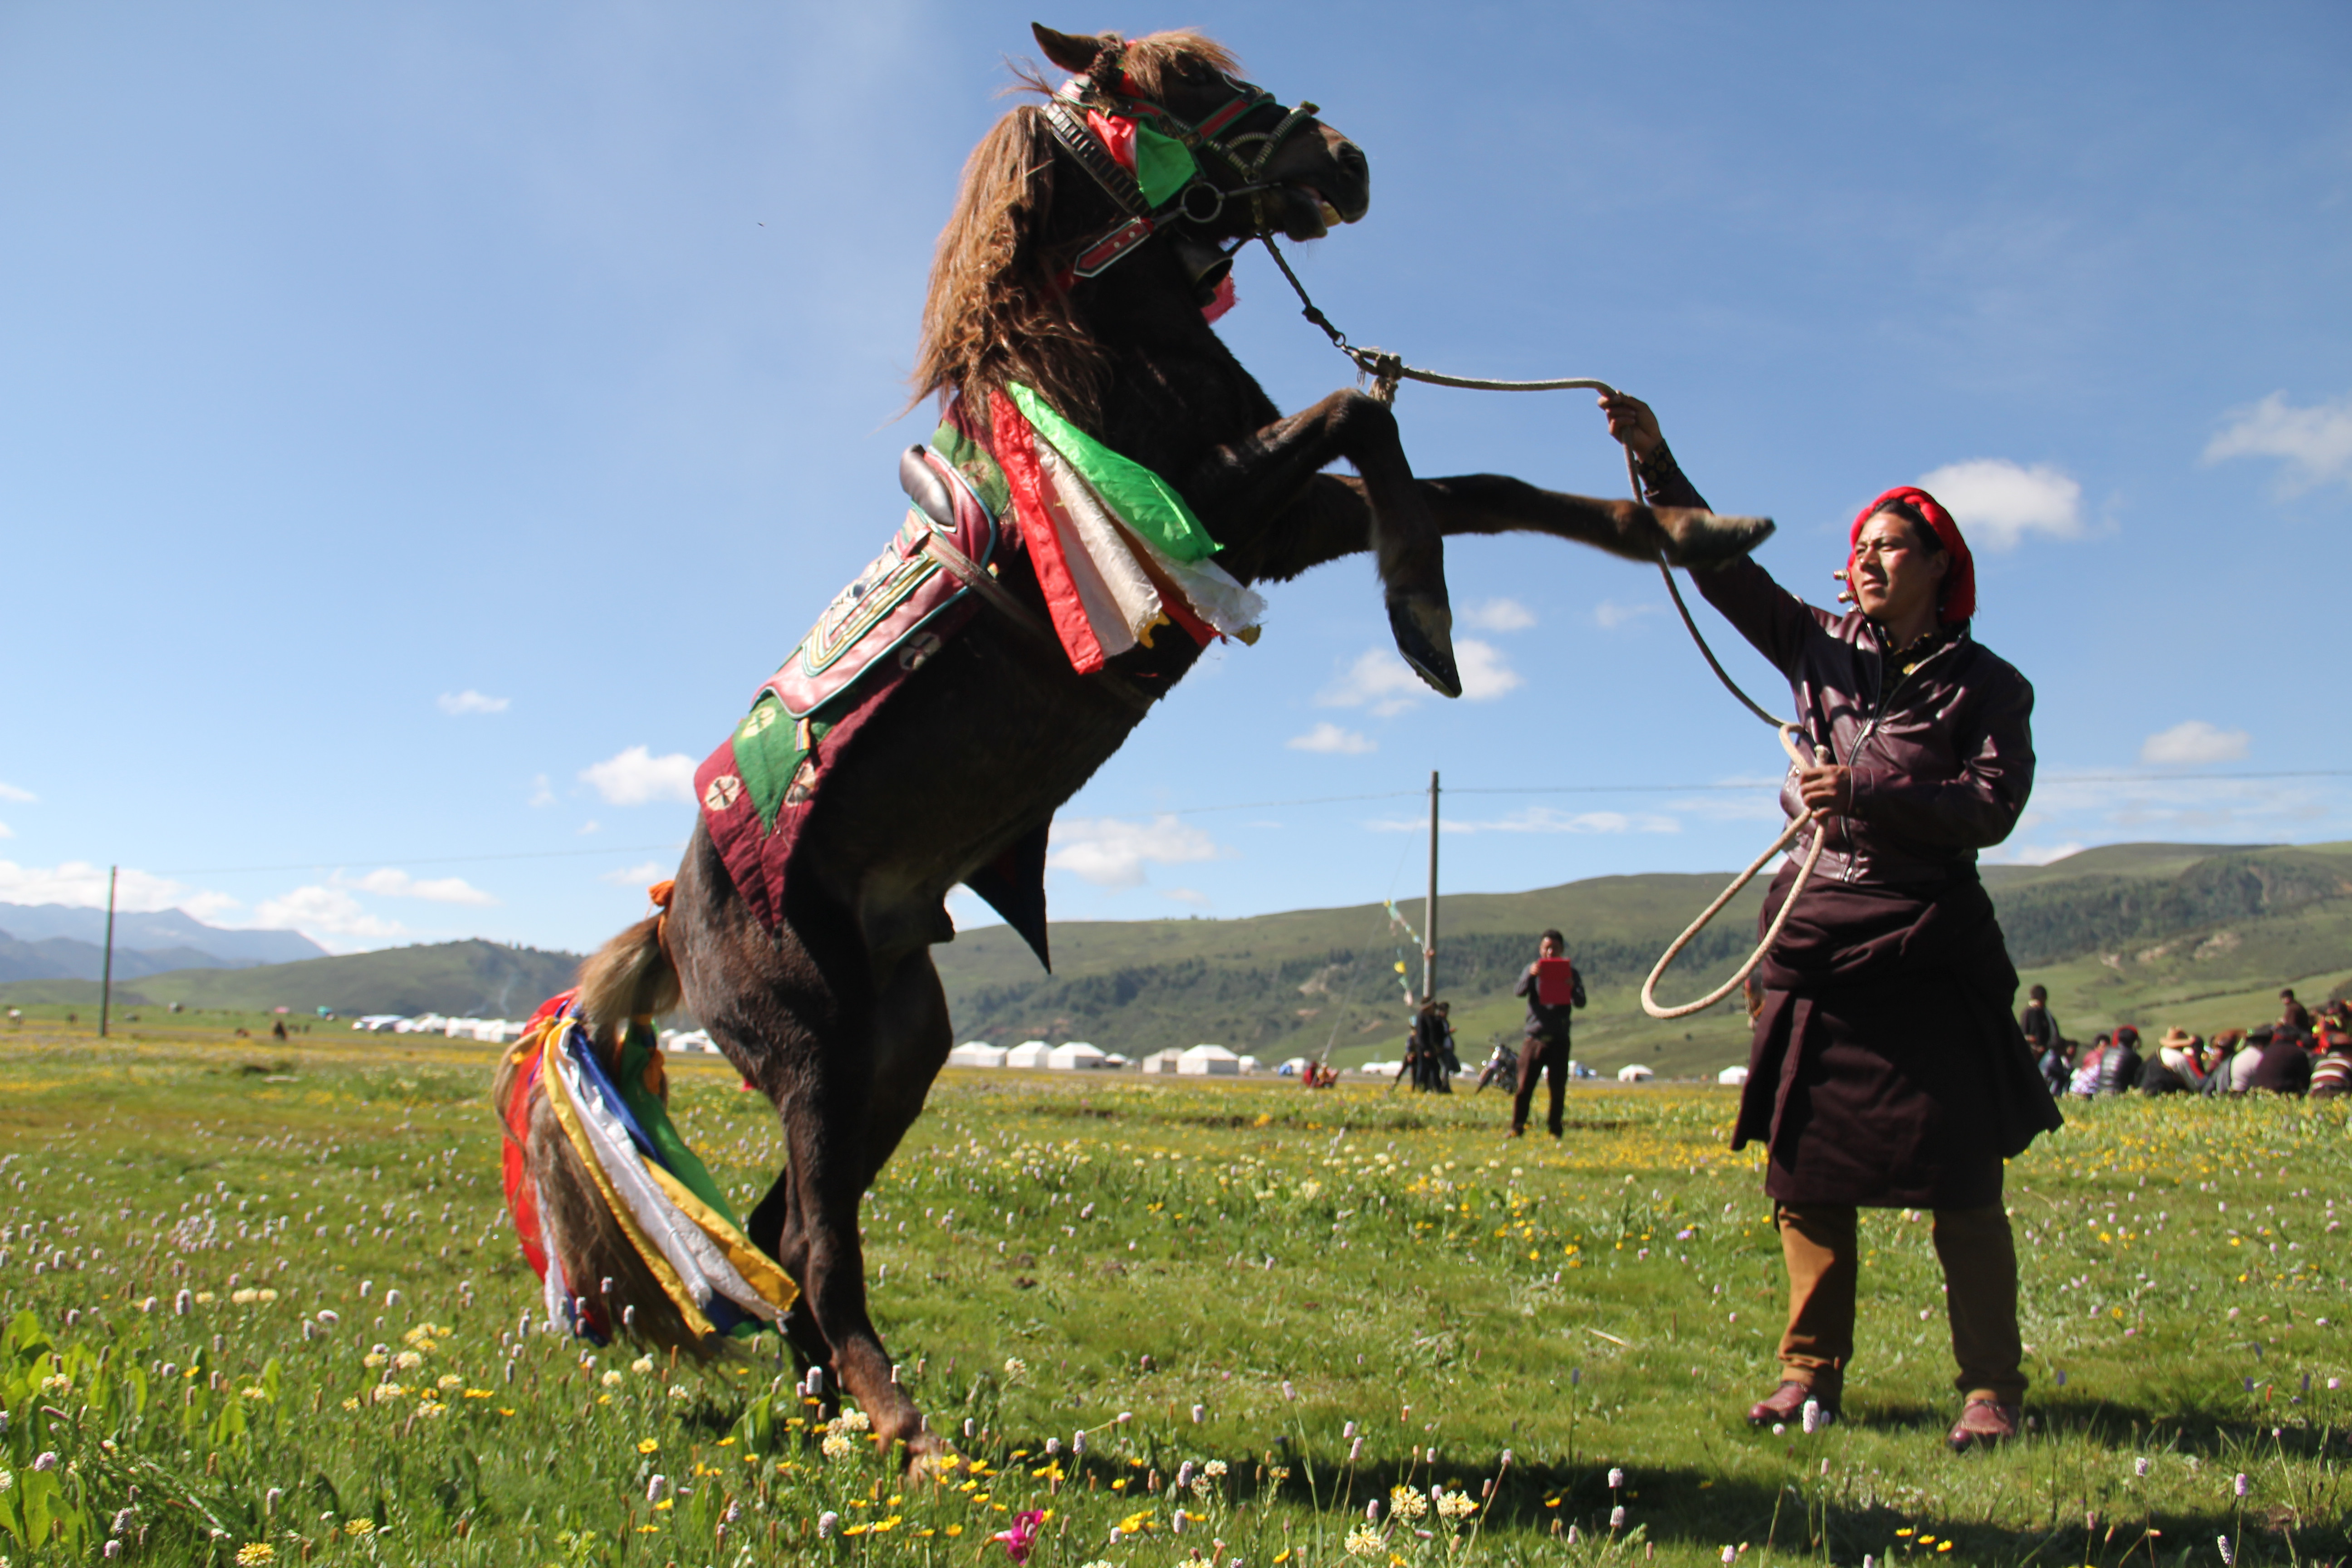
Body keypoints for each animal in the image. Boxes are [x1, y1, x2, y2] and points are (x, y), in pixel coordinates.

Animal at [505, 24, 1769, 1476]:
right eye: (1181, 86)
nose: (1348, 161)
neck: (1085, 354)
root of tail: (676, 910)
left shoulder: (1269, 525)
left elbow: (1480, 487)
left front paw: (1693, 531)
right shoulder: (1223, 513)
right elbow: (1367, 419)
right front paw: (1426, 616)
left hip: (899, 1048)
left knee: (785, 1233)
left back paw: (836, 1406)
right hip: (810, 1052)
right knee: (817, 1244)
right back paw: (899, 1417)